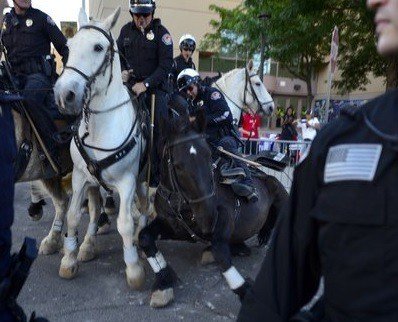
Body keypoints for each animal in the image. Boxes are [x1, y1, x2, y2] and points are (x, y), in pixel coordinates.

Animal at [52, 8, 147, 290]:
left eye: (98, 47)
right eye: (69, 47)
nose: (64, 95)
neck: (100, 126)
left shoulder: (127, 181)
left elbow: (125, 224)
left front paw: (133, 268)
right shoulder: (81, 178)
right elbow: (74, 216)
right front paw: (69, 258)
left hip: (143, 179)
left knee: (144, 208)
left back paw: (139, 238)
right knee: (97, 210)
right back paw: (87, 245)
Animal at [138, 95, 288, 306]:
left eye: (209, 156)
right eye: (178, 165)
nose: (208, 218)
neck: (183, 204)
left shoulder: (226, 218)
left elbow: (220, 252)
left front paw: (244, 289)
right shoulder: (172, 226)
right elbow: (144, 237)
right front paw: (163, 282)